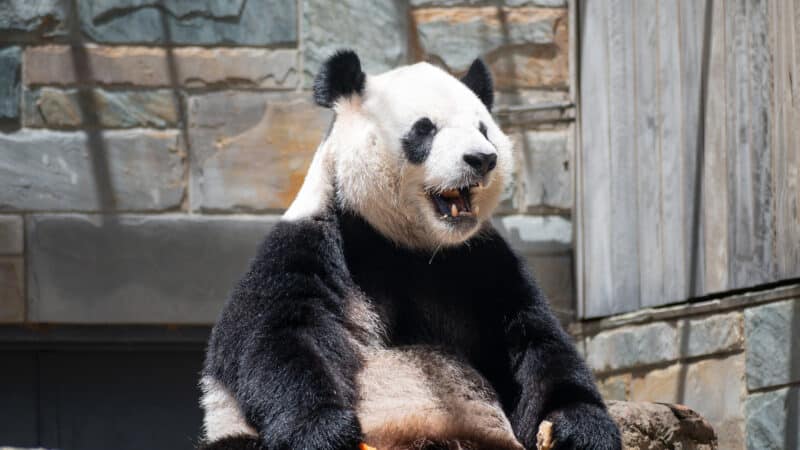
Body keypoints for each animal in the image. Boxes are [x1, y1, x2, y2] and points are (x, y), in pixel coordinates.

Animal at [199, 50, 621, 450]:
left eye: (483, 129)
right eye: (425, 129)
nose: (482, 159)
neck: (408, 243)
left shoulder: (482, 260)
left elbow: (534, 344)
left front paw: (578, 427)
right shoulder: (311, 243)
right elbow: (280, 334)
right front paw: (323, 429)